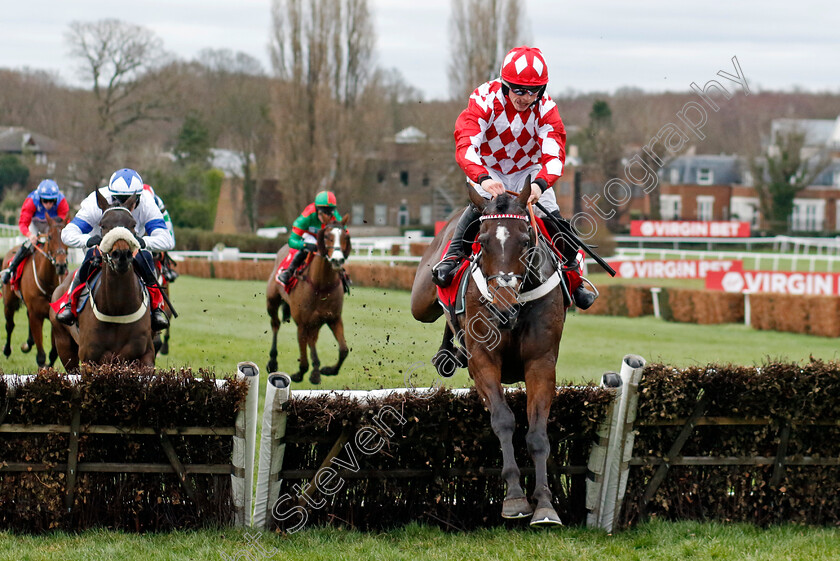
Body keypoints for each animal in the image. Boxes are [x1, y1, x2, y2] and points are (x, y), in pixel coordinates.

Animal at [2, 214, 68, 368]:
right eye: (49, 236)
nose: (61, 265)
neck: (48, 283)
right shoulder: (36, 315)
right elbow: (41, 356)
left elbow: (54, 352)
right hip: (9, 302)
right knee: (10, 325)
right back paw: (7, 350)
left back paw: (28, 343)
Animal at [49, 192, 155, 372]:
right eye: (103, 225)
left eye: (133, 224)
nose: (121, 254)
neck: (117, 309)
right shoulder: (89, 359)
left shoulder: (145, 356)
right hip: (64, 346)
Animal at [266, 219, 352, 384]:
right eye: (327, 236)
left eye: (345, 237)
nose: (337, 260)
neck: (321, 285)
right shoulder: (302, 322)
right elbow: (303, 350)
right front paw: (301, 373)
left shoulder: (333, 318)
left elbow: (344, 350)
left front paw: (328, 370)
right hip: (272, 301)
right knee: (275, 325)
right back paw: (273, 361)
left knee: (312, 340)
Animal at [410, 184, 568, 524]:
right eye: (482, 242)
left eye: (525, 240)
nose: (503, 308)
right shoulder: (484, 360)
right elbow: (504, 420)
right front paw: (515, 497)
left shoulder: (541, 362)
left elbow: (537, 433)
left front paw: (544, 503)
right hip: (421, 302)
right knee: (440, 310)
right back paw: (448, 353)